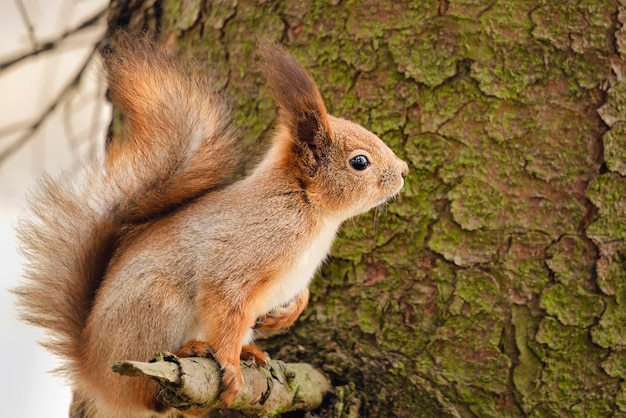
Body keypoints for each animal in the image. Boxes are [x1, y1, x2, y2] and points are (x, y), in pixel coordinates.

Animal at [14, 33, 410, 418]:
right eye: (360, 162)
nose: (405, 170)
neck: (308, 209)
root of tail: (93, 371)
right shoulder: (239, 259)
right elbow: (226, 307)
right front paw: (230, 366)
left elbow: (299, 295)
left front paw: (285, 315)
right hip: (155, 312)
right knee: (148, 394)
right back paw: (194, 351)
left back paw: (249, 351)